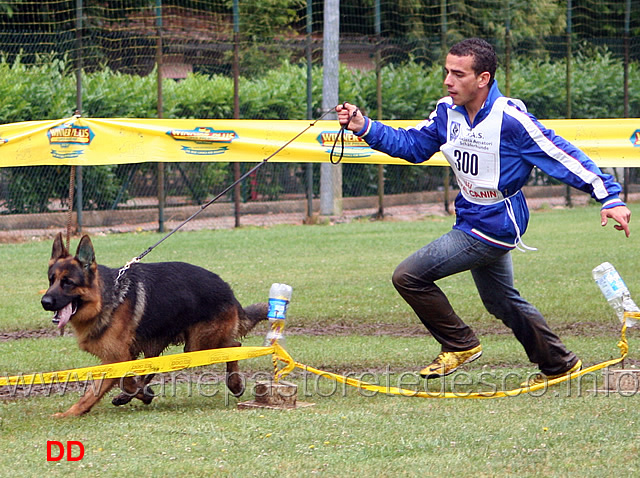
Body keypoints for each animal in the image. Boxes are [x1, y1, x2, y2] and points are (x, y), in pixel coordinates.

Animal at [41, 233, 268, 416]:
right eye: (51, 280)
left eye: (68, 283)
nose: (45, 302)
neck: (104, 299)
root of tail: (227, 289)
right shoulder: (122, 355)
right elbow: (121, 381)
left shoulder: (117, 356)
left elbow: (111, 384)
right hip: (173, 343)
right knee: (155, 366)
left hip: (198, 344)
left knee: (235, 346)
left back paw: (235, 383)